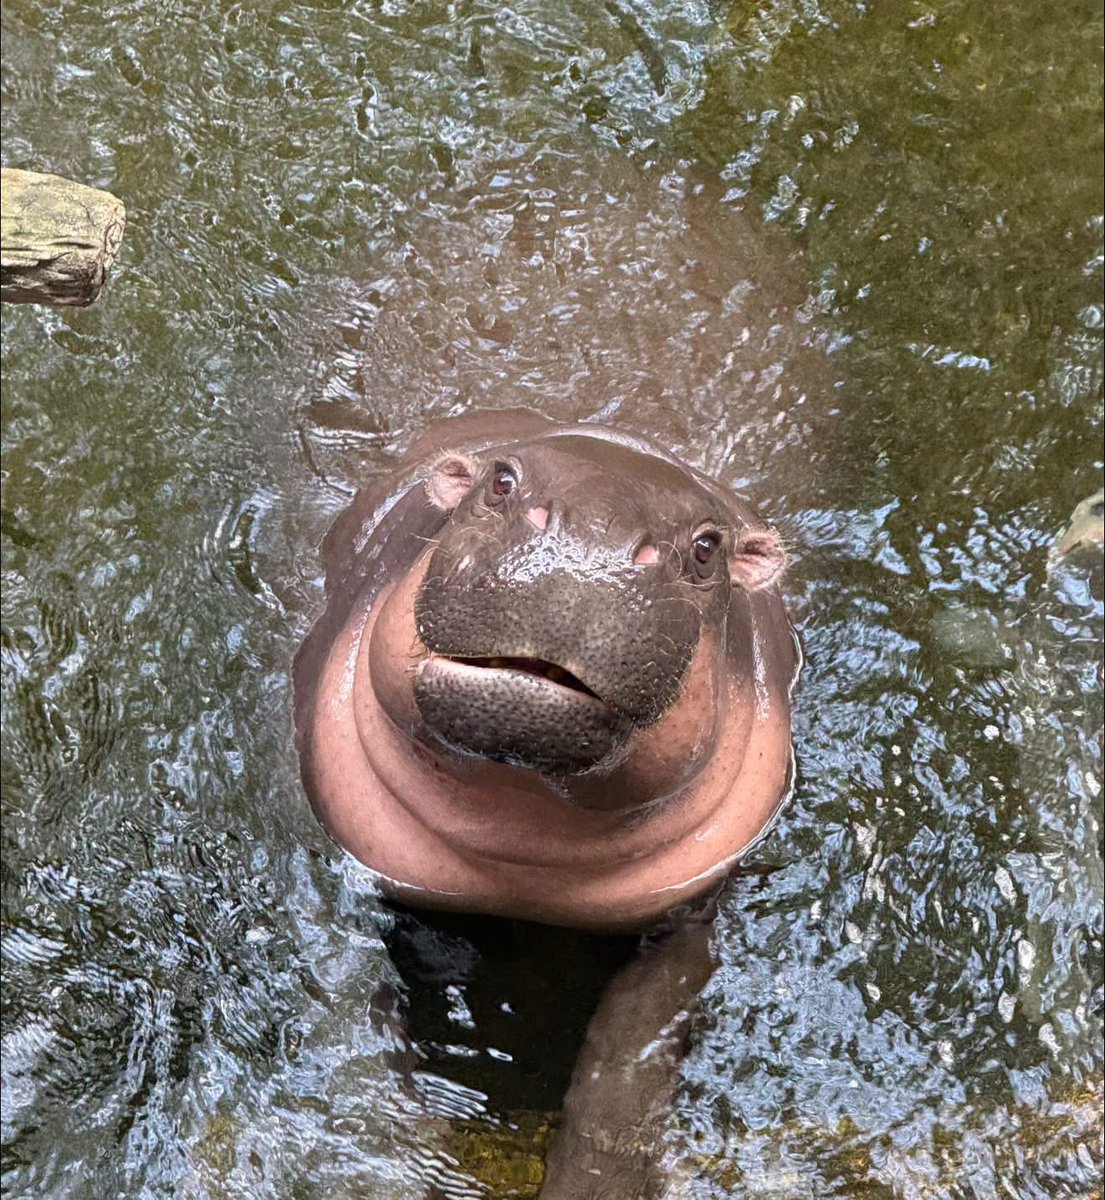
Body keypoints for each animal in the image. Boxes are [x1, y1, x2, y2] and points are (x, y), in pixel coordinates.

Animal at [293, 407, 800, 1197]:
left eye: (707, 548)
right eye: (501, 482)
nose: (585, 551)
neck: (525, 838)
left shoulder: (688, 915)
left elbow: (624, 1074)